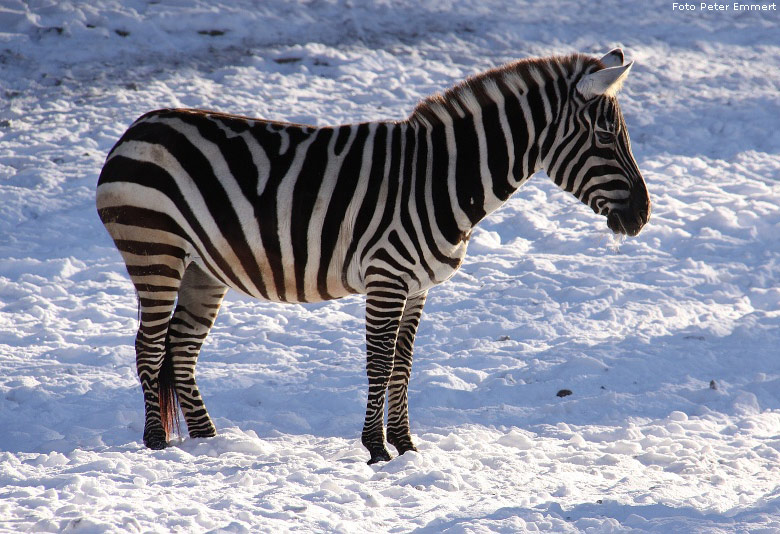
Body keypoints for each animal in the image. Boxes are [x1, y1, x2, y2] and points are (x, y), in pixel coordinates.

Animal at [96, 51, 644, 468]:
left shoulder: (418, 286)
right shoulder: (387, 277)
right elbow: (379, 363)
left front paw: (405, 445)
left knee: (182, 347)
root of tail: (136, 128)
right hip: (154, 250)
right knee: (149, 345)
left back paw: (210, 441)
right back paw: (156, 443)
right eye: (604, 138)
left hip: (202, 268)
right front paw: (376, 449)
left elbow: (403, 364)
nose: (642, 216)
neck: (441, 179)